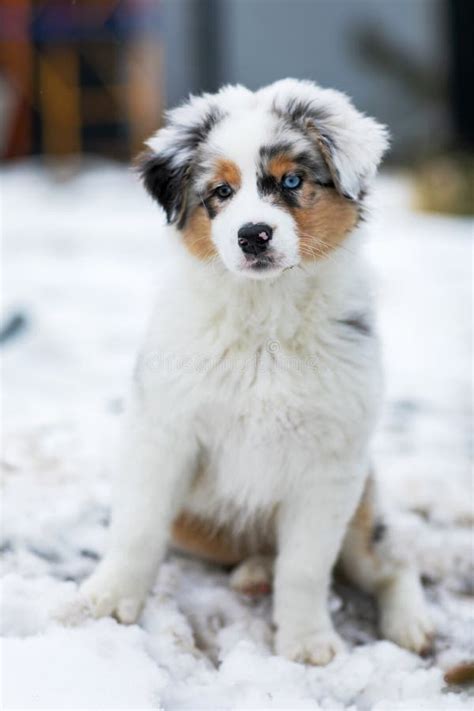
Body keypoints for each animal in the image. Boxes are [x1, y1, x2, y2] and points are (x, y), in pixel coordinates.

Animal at [81, 79, 434, 668]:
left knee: (390, 562)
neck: (264, 319)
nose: (253, 235)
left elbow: (306, 565)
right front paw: (105, 600)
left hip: (362, 504)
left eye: (291, 181)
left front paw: (307, 642)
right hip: (196, 524)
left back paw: (411, 624)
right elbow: (137, 529)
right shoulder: (164, 434)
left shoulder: (332, 464)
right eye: (221, 192)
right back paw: (252, 574)